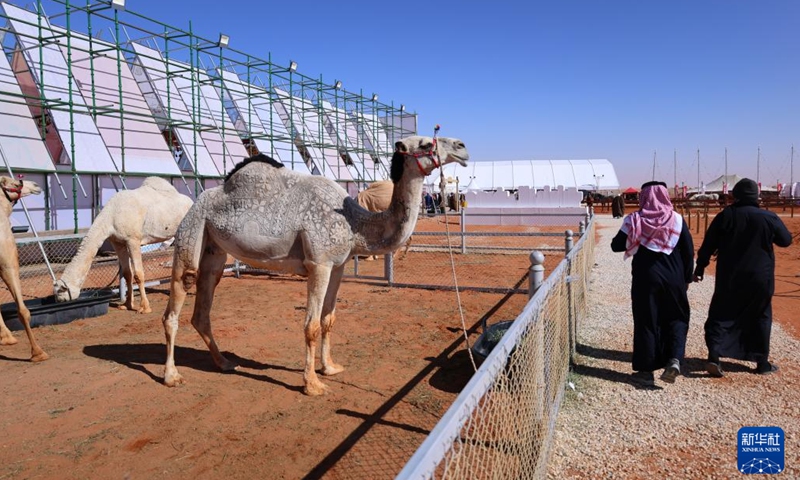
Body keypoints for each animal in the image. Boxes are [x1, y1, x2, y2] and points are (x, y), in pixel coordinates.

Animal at [0, 176, 48, 361]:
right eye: (16, 183)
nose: (36, 185)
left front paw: (6, 338)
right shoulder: (8, 263)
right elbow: (22, 310)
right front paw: (38, 353)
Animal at [54, 177, 193, 314]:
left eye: (60, 292)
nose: (59, 301)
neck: (111, 215)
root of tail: (191, 201)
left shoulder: (133, 240)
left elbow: (138, 274)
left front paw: (144, 308)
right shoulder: (118, 242)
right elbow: (127, 274)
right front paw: (126, 304)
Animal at [161, 135, 469, 395]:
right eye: (426, 143)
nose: (462, 147)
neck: (354, 224)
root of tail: (198, 199)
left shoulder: (338, 264)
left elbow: (328, 319)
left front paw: (330, 367)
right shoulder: (318, 263)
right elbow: (311, 325)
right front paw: (312, 384)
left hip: (214, 249)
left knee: (203, 304)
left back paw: (224, 362)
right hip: (190, 228)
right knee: (179, 292)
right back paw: (171, 376)